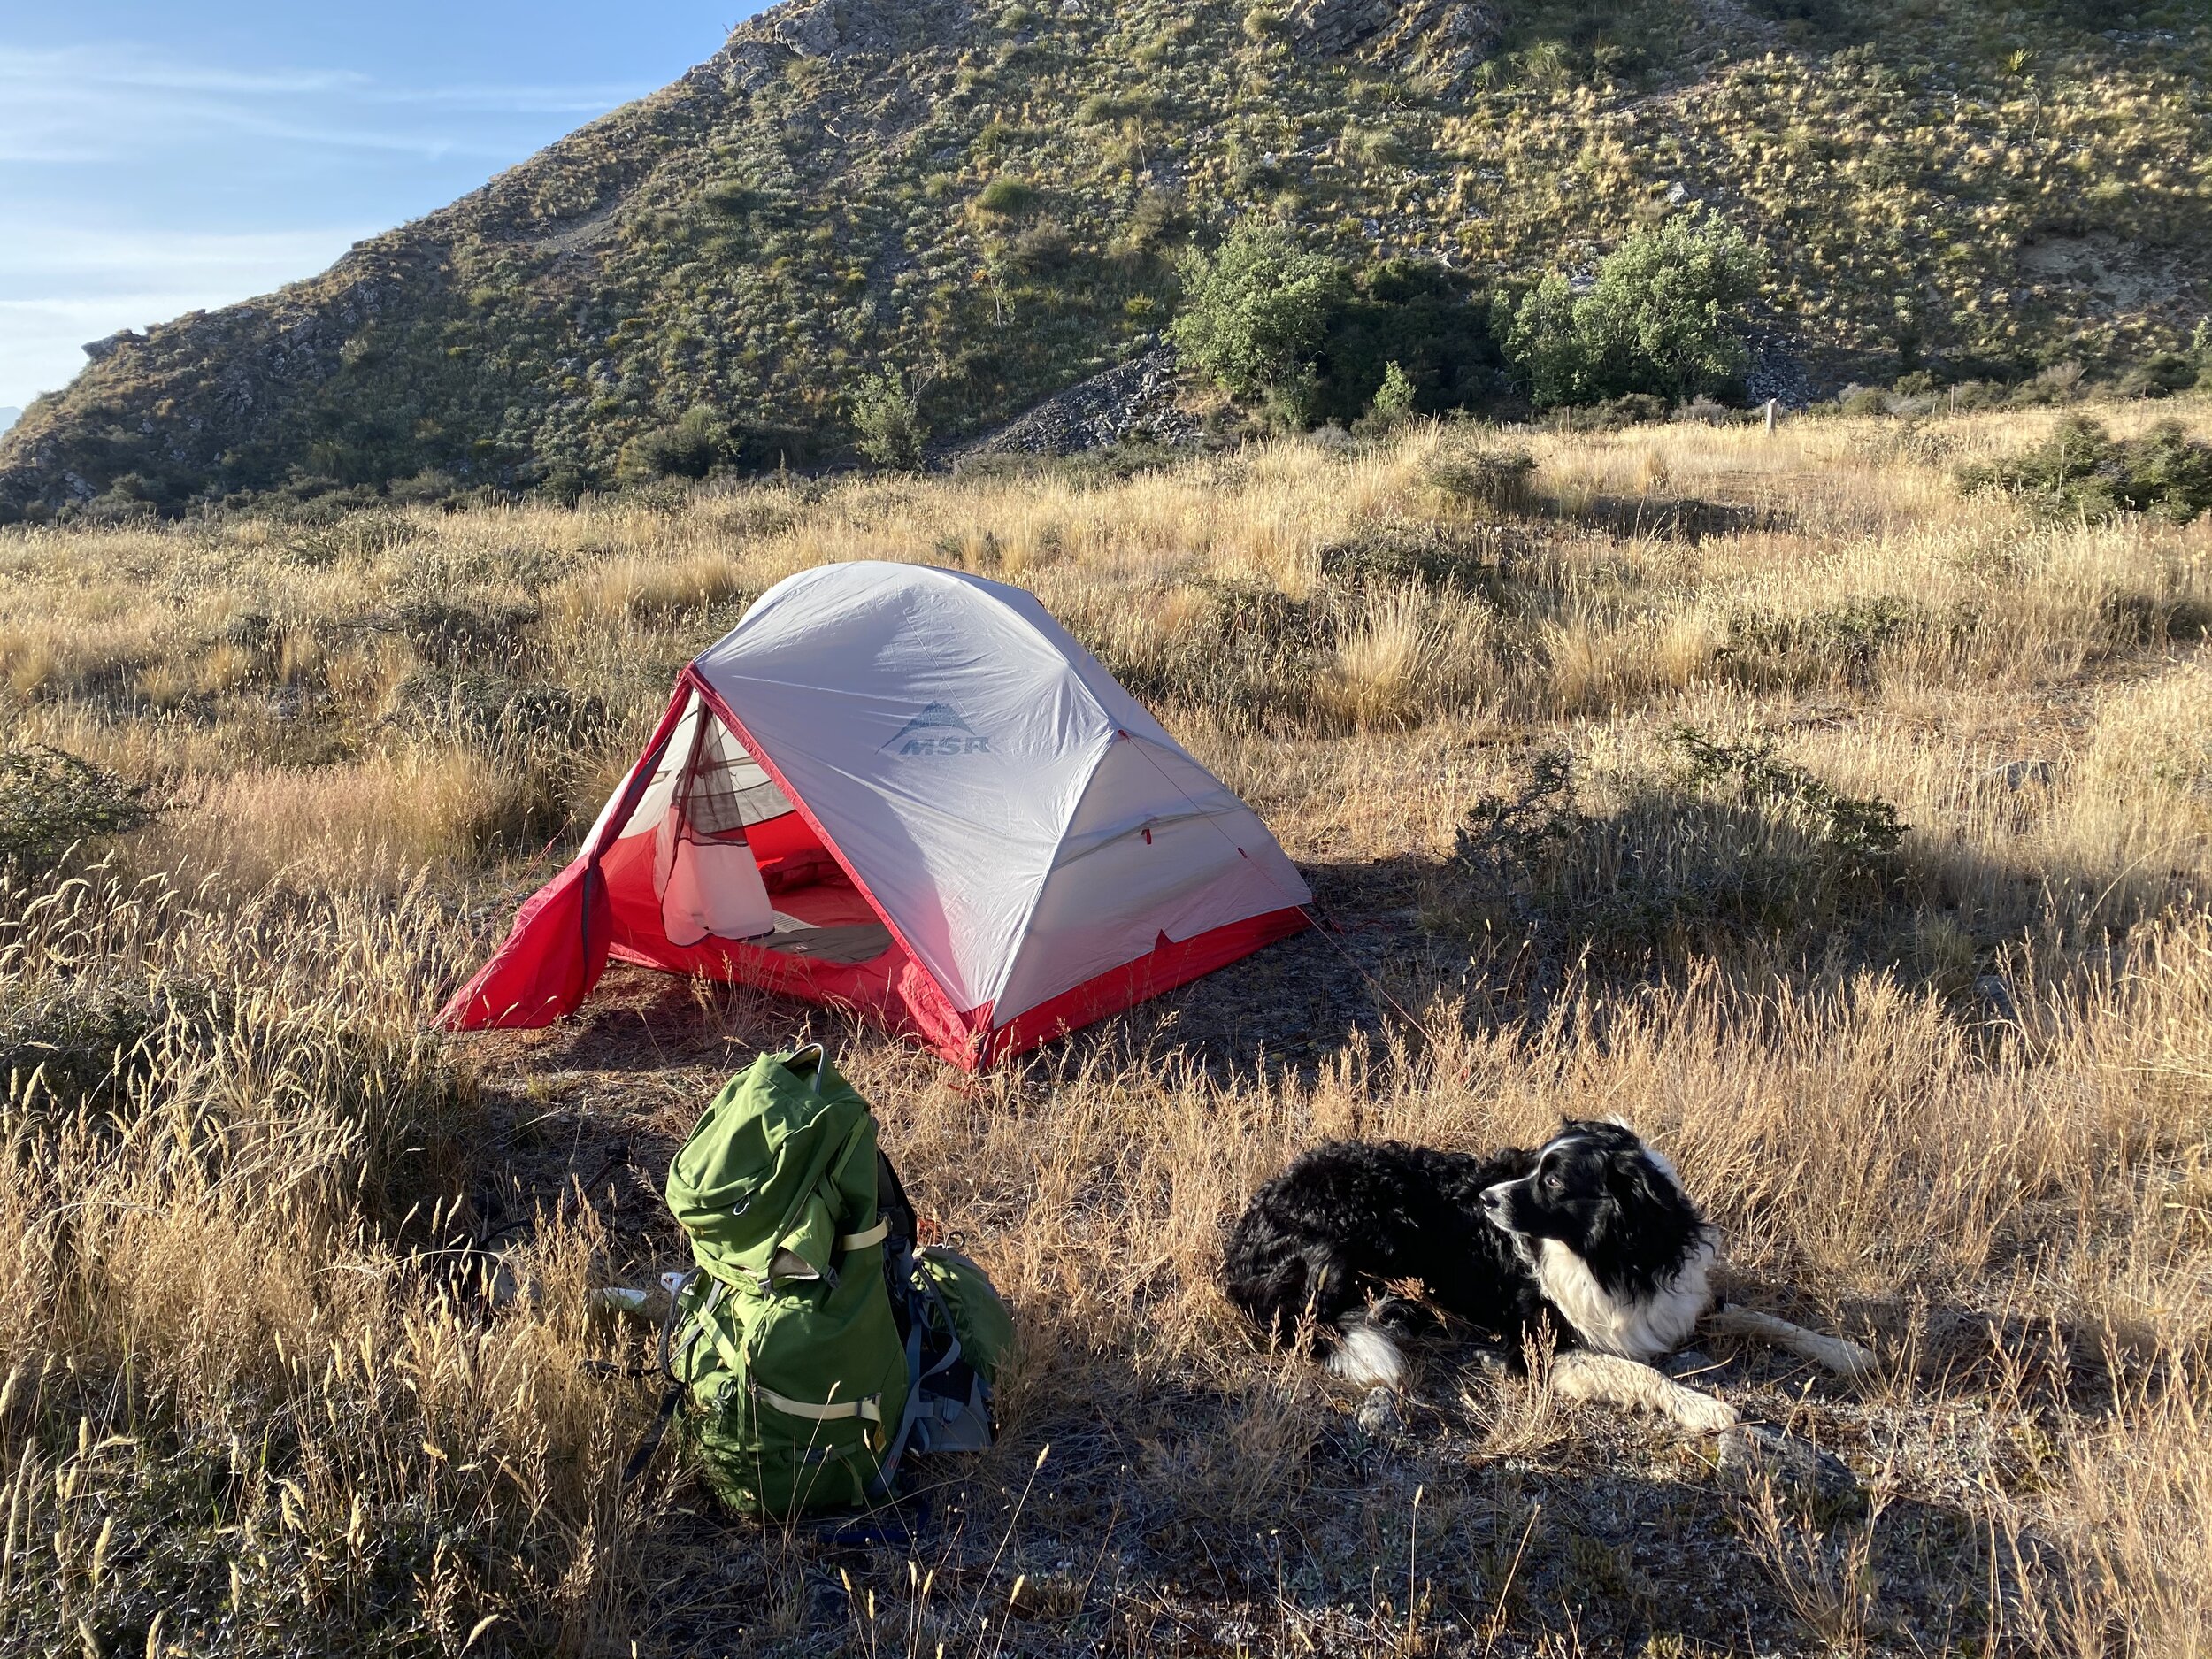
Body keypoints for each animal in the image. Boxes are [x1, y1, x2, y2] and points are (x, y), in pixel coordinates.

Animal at [1221, 1124, 1876, 1433]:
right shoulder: (1540, 1347)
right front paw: (1703, 1407)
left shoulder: (1678, 1298)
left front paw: (1845, 1351)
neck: (1607, 1256)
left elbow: (1759, 1314)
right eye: (1534, 1167)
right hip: (1358, 1229)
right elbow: (1640, 1371)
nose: (1483, 1199)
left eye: (1553, 1180)